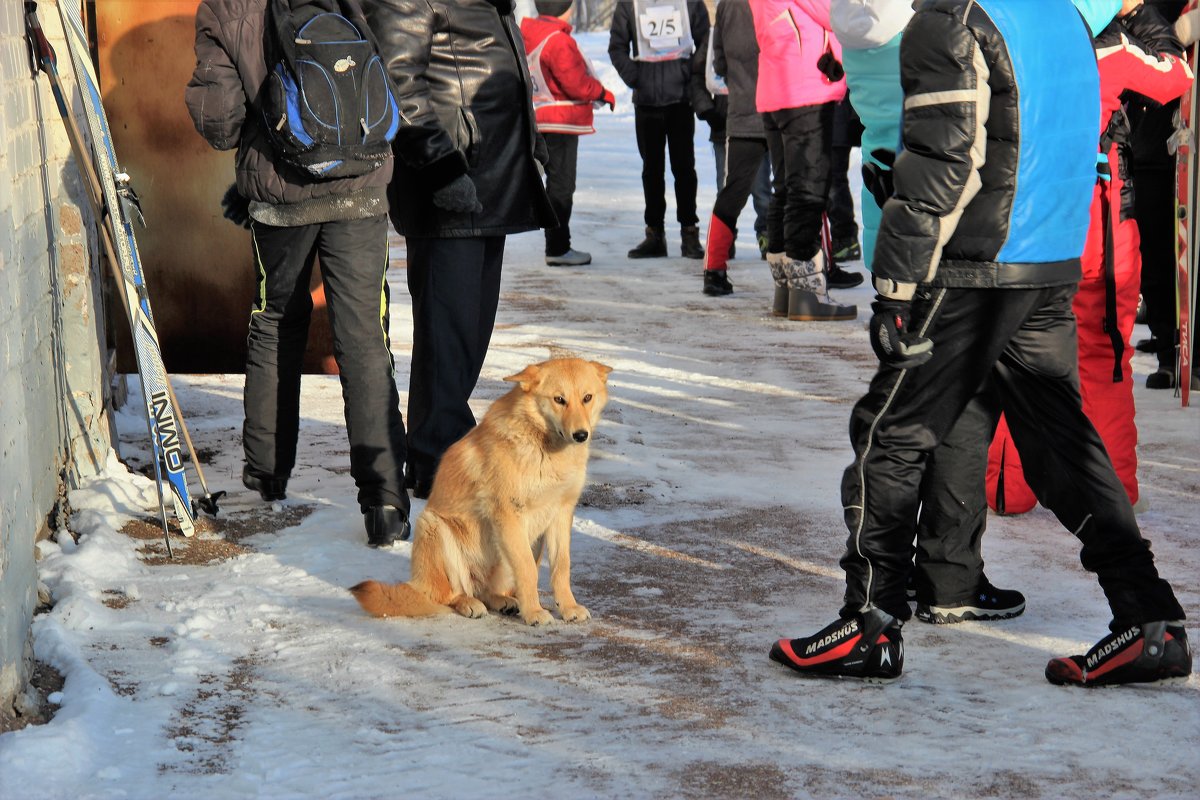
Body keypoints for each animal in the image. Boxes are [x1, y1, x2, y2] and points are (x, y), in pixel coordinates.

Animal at [348, 357, 609, 623]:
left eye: (587, 397)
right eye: (559, 399)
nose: (581, 435)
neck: (542, 445)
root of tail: (419, 585)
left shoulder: (560, 514)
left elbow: (561, 567)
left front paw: (568, 607)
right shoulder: (509, 516)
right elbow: (527, 570)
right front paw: (534, 612)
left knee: (487, 591)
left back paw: (503, 601)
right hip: (435, 527)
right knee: (449, 595)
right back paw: (468, 603)